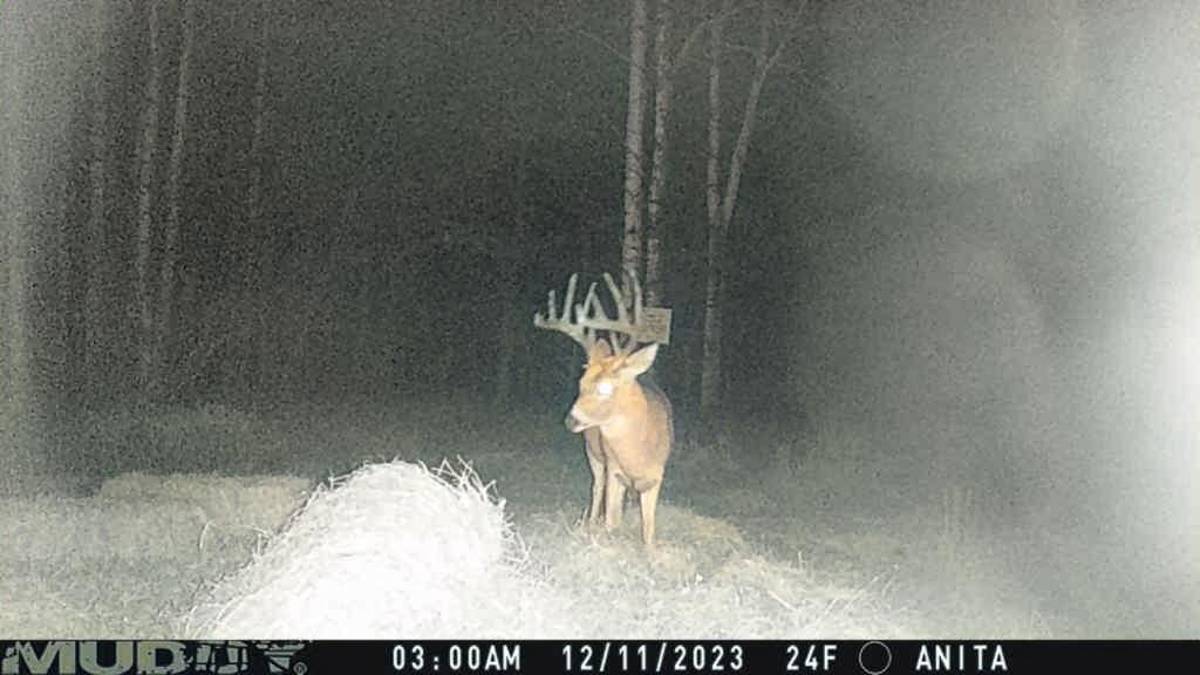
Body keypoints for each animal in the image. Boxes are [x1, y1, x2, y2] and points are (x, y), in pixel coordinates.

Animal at [534, 269, 674, 551]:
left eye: (606, 388)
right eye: (581, 383)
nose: (571, 420)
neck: (638, 452)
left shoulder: (656, 476)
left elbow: (649, 531)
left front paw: (649, 552)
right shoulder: (614, 470)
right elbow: (611, 519)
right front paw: (607, 538)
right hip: (593, 454)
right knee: (596, 487)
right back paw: (590, 522)